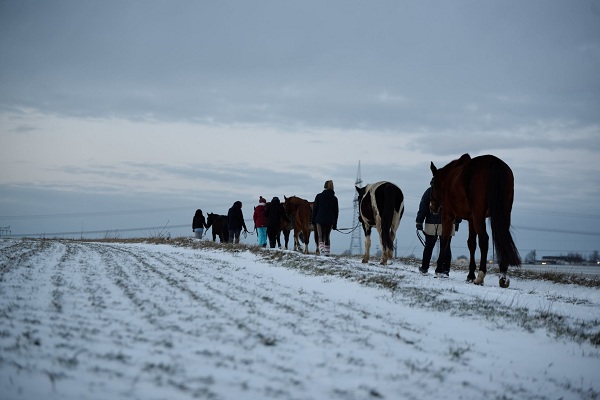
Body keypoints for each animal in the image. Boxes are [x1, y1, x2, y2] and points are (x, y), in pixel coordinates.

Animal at [432, 153, 520, 288]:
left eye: (431, 184)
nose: (431, 207)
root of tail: (495, 163)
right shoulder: (471, 219)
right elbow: (471, 244)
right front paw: (470, 275)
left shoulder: (448, 215)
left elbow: (444, 240)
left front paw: (438, 270)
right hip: (504, 213)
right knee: (501, 239)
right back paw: (503, 277)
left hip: (479, 215)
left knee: (484, 239)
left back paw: (480, 276)